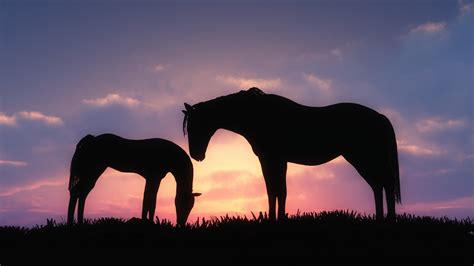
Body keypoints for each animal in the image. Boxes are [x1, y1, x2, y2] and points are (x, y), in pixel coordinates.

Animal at [67, 134, 200, 225]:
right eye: (184, 203)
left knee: (81, 193)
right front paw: (148, 222)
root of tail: (91, 139)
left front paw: (147, 221)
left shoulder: (152, 178)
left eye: (191, 206)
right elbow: (150, 201)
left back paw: (77, 222)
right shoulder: (154, 177)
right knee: (78, 192)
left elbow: (148, 201)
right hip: (92, 171)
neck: (170, 155)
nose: (181, 223)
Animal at [181, 87, 400, 220]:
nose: (196, 155)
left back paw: (388, 219)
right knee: (378, 185)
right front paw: (277, 218)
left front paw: (273, 219)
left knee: (384, 184)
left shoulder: (270, 159)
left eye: (195, 125)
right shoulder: (277, 160)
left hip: (364, 158)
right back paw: (381, 218)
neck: (256, 115)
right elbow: (279, 190)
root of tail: (379, 117)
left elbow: (274, 190)